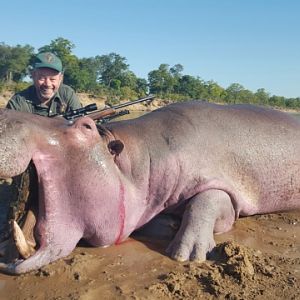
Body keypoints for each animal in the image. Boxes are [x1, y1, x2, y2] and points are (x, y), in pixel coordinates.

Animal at [0, 101, 298, 274]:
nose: (4, 113)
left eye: (86, 126)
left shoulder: (224, 187)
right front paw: (169, 225)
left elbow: (206, 202)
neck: (135, 160)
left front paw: (186, 254)